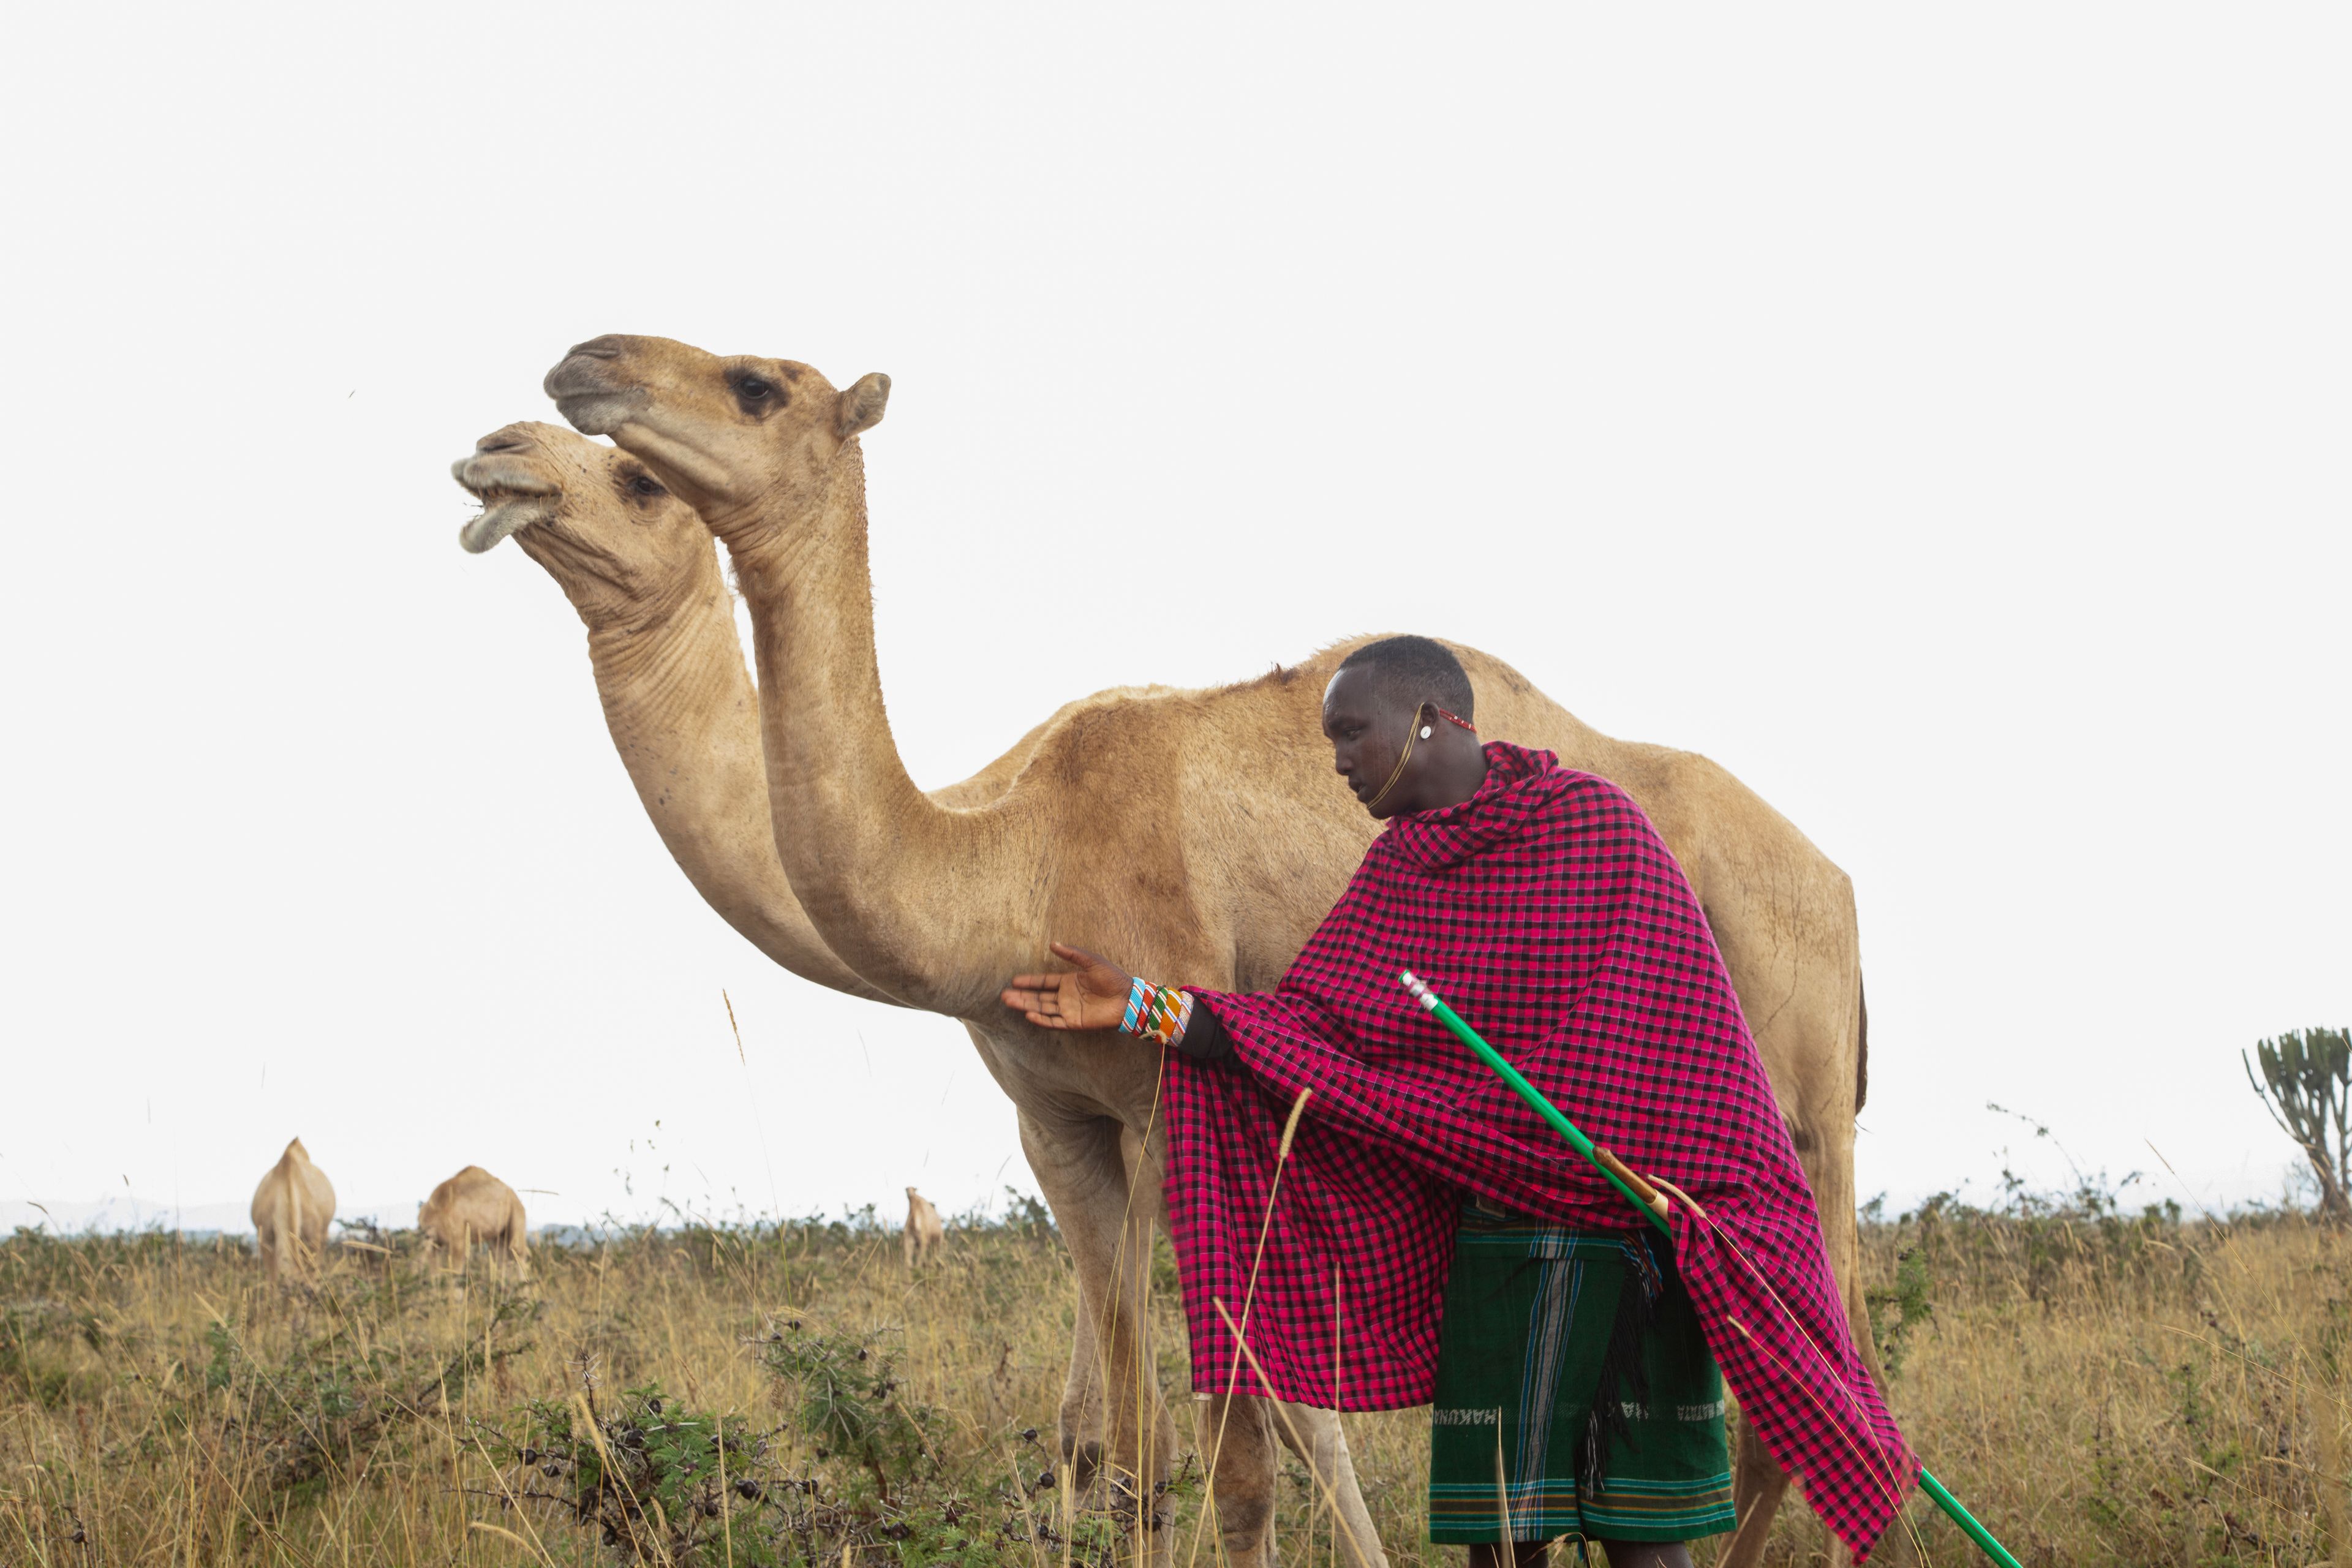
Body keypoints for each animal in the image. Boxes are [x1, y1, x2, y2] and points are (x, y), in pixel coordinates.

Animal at [426, 1166, 536, 1278]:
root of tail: (516, 1196)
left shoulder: (457, 1237)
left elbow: (456, 1268)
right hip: (497, 1234)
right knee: (501, 1256)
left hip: (516, 1213)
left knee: (517, 1251)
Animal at [898, 1185, 945, 1269]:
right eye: (906, 1189)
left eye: (914, 1189)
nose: (909, 1194)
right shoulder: (910, 1237)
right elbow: (909, 1259)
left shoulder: (923, 1239)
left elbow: (919, 1260)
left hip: (938, 1240)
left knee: (935, 1253)